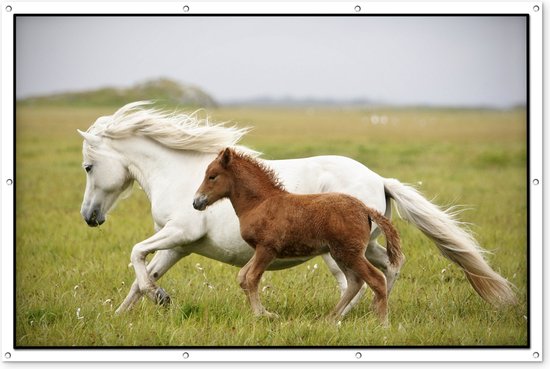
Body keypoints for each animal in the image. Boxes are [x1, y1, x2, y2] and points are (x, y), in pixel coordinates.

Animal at [194, 147, 406, 322]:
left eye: (212, 176)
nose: (197, 202)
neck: (259, 203)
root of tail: (364, 209)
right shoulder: (259, 250)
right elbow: (242, 276)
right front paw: (264, 313)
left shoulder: (267, 249)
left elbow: (252, 278)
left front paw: (262, 315)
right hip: (340, 254)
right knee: (355, 282)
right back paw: (330, 318)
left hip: (349, 253)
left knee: (376, 279)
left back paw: (382, 323)